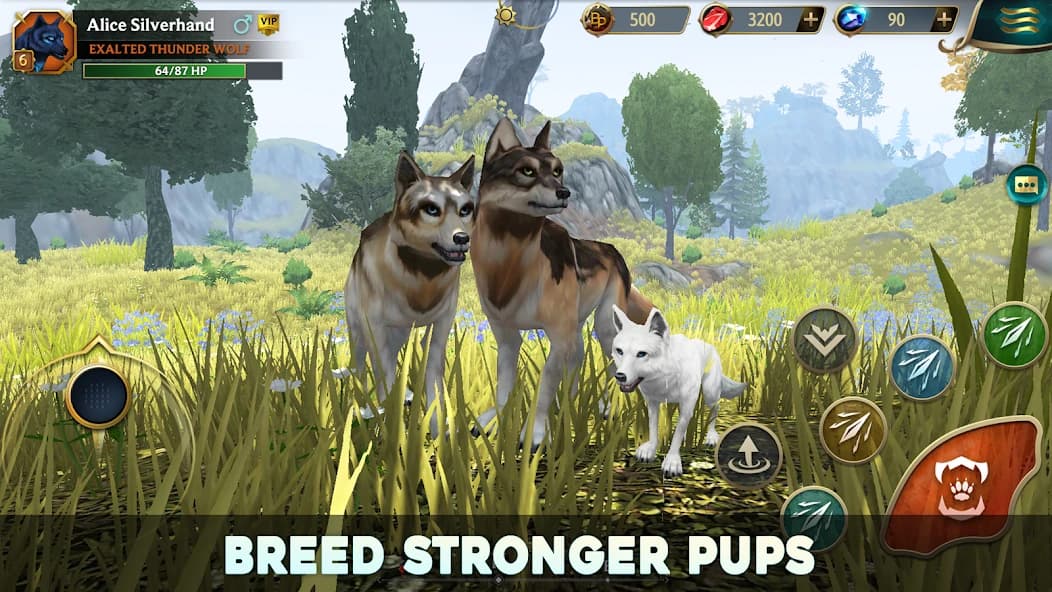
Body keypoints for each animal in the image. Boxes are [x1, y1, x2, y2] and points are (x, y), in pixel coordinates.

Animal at [345, 151, 476, 437]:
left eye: (465, 209)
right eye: (431, 209)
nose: (462, 238)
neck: (421, 280)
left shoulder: (440, 327)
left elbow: (435, 385)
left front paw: (438, 438)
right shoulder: (376, 331)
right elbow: (385, 383)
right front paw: (390, 435)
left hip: (399, 334)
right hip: (359, 333)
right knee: (359, 370)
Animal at [472, 117, 655, 449]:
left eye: (558, 170)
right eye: (527, 171)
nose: (565, 192)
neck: (510, 265)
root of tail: (613, 250)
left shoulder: (557, 337)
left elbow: (544, 386)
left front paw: (535, 432)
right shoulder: (506, 338)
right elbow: (505, 384)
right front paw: (495, 420)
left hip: (604, 327)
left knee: (614, 365)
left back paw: (606, 407)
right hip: (577, 327)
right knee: (578, 359)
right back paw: (569, 404)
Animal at [610, 305, 747, 477]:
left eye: (641, 354)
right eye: (619, 351)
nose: (620, 376)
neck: (665, 376)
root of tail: (709, 345)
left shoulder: (687, 406)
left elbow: (677, 435)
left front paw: (672, 462)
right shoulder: (653, 403)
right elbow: (653, 428)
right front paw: (651, 450)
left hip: (710, 393)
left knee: (715, 409)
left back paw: (711, 436)